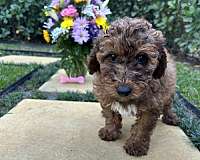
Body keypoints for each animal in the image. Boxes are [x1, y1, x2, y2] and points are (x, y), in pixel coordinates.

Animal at [86, 17, 179, 156]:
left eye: (142, 58)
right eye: (112, 56)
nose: (123, 90)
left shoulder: (152, 104)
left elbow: (143, 126)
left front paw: (137, 144)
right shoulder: (105, 93)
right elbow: (110, 114)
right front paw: (110, 131)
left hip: (169, 89)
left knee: (168, 104)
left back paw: (170, 117)